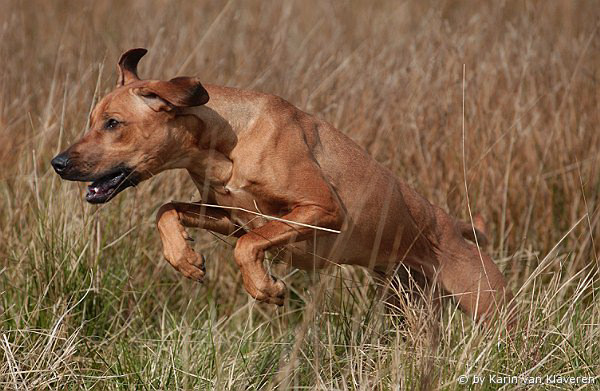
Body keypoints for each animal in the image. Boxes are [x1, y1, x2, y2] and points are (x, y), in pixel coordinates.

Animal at [51, 48, 512, 324]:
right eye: (92, 120)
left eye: (113, 123)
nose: (58, 163)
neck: (229, 141)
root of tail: (457, 227)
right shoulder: (231, 216)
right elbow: (167, 210)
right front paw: (185, 259)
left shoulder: (322, 210)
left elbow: (248, 246)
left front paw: (265, 288)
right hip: (407, 304)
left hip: (489, 308)